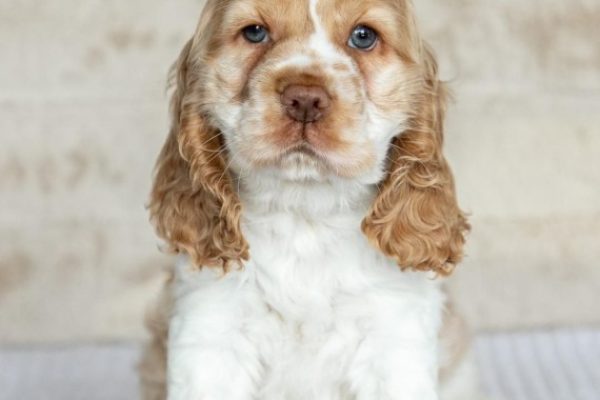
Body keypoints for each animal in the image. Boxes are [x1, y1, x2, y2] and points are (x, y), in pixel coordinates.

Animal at [139, 0, 478, 400]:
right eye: (255, 32)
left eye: (363, 37)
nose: (304, 100)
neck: (305, 213)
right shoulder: (211, 329)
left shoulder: (393, 333)